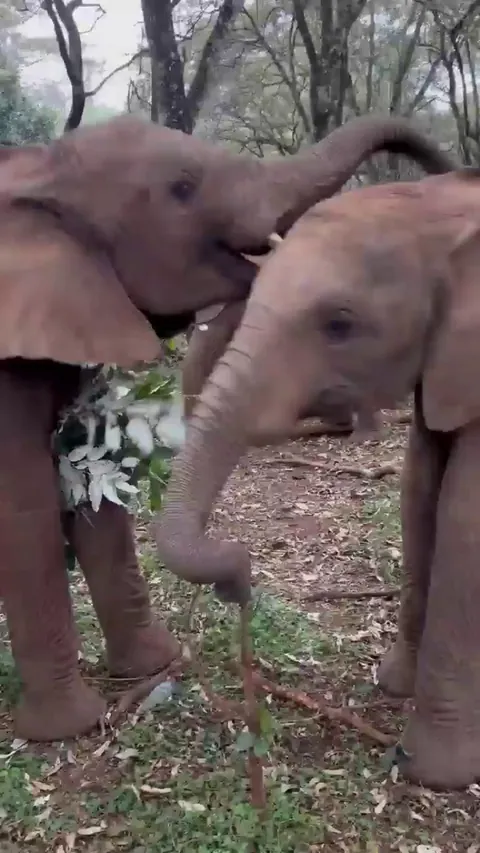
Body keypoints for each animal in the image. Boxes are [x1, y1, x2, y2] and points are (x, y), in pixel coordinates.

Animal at [0, 112, 456, 742]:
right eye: (182, 188)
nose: (238, 576)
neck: (40, 170)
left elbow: (94, 489)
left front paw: (156, 665)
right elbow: (25, 513)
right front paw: (67, 728)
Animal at [156, 168, 480, 790]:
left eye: (340, 324)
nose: (239, 577)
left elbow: (463, 516)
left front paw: (432, 774)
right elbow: (419, 488)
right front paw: (392, 687)